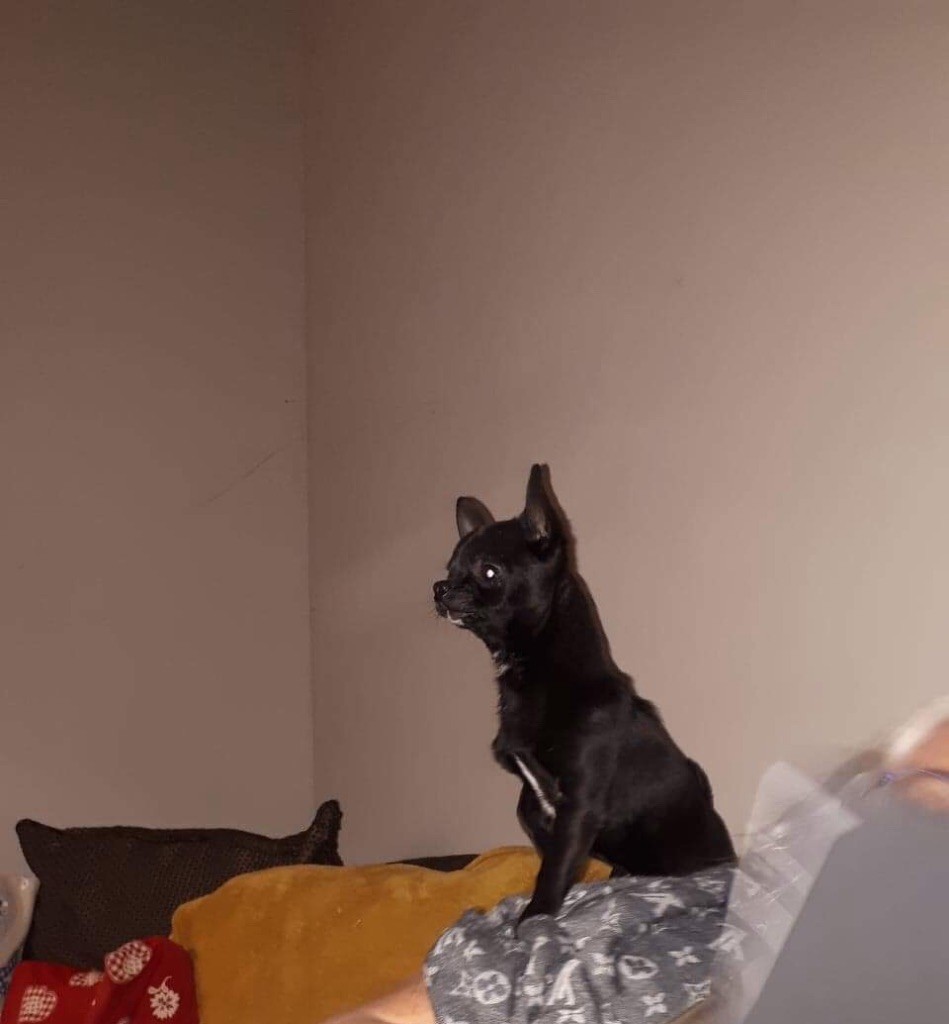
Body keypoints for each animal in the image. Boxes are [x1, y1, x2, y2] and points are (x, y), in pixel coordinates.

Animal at [433, 464, 735, 920]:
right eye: (450, 568)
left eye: (489, 572)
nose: (439, 588)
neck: (532, 671)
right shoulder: (534, 803)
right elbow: (551, 856)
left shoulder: (578, 804)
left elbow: (553, 871)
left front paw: (534, 921)